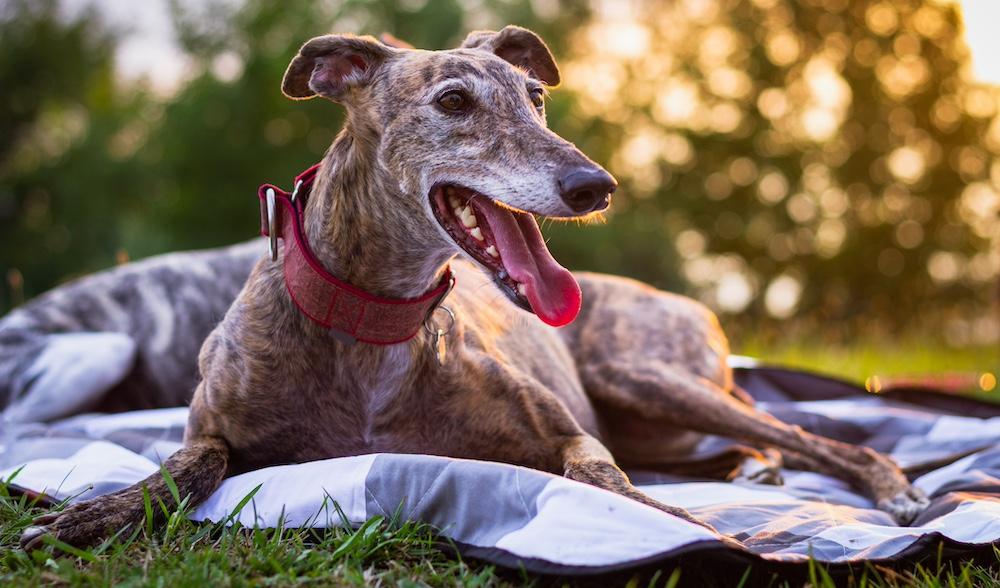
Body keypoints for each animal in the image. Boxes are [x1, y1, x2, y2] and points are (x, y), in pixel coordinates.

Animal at [15, 26, 924, 552]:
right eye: (455, 101)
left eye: (537, 96)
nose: (597, 186)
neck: (375, 319)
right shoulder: (212, 426)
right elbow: (184, 469)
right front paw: (94, 512)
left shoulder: (566, 435)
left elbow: (608, 485)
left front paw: (684, 525)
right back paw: (753, 471)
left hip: (646, 376)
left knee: (828, 440)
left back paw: (888, 490)